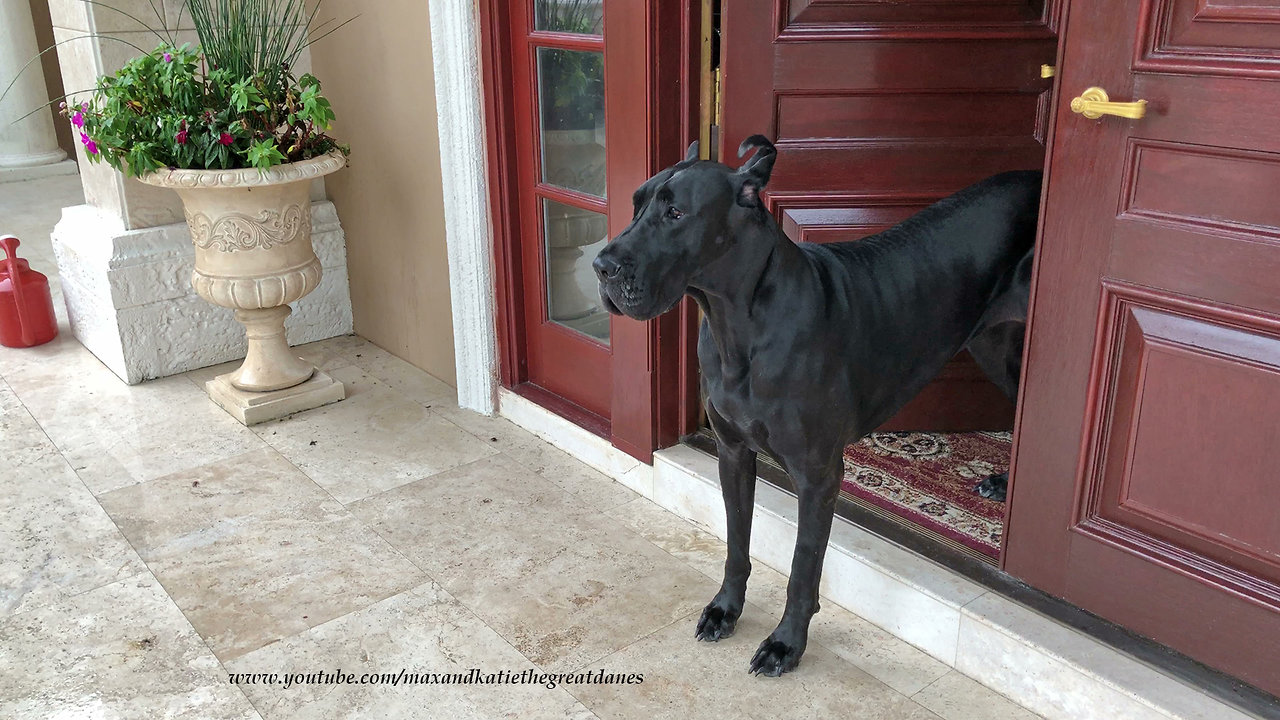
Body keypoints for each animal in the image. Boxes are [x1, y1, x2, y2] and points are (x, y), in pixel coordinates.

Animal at [588, 134, 1039, 671]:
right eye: (636, 204)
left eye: (675, 213)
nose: (601, 266)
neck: (738, 325)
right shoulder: (732, 453)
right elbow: (736, 541)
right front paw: (725, 609)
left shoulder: (817, 474)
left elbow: (803, 565)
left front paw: (786, 642)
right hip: (995, 345)